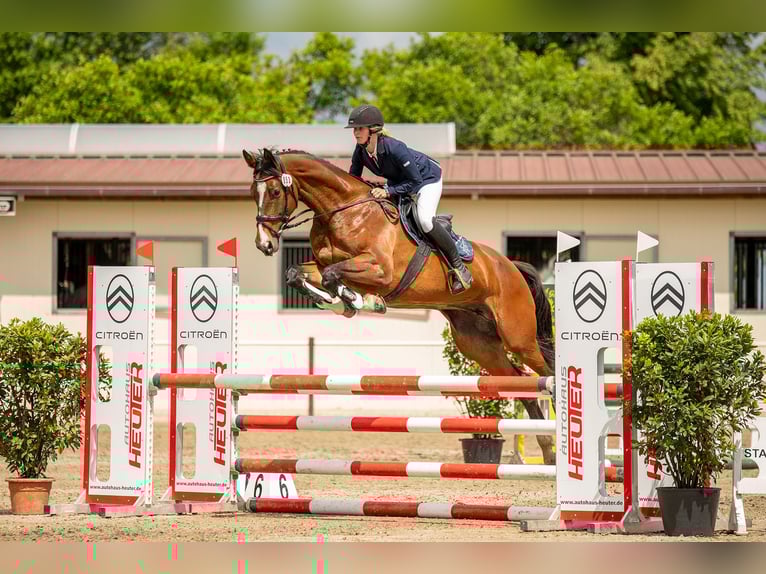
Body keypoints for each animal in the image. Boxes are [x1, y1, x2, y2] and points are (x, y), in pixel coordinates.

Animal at [243, 147, 556, 464]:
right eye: (252, 192)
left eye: (273, 191)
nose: (264, 244)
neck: (344, 211)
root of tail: (512, 267)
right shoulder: (322, 265)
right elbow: (297, 273)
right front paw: (339, 303)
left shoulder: (380, 271)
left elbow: (334, 276)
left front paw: (361, 301)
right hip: (478, 344)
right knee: (518, 380)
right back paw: (547, 449)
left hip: (518, 337)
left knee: (546, 372)